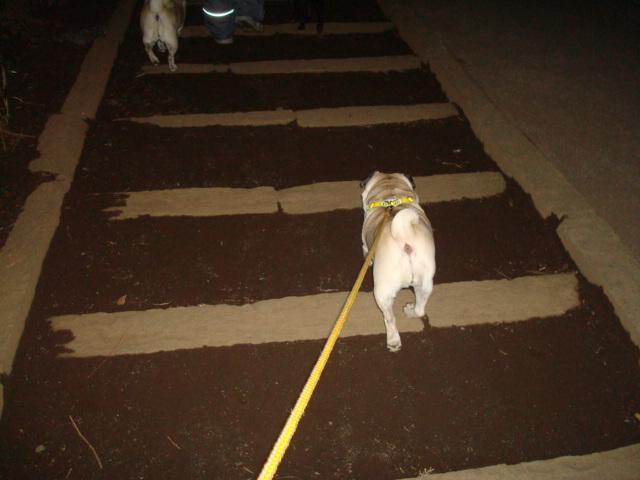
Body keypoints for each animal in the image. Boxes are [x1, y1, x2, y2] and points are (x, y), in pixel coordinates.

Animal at [361, 172, 436, 352]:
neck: (391, 194)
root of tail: (404, 236)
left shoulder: (365, 242)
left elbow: (365, 249)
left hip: (382, 292)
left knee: (389, 318)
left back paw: (393, 340)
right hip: (424, 284)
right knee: (420, 309)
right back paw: (411, 311)